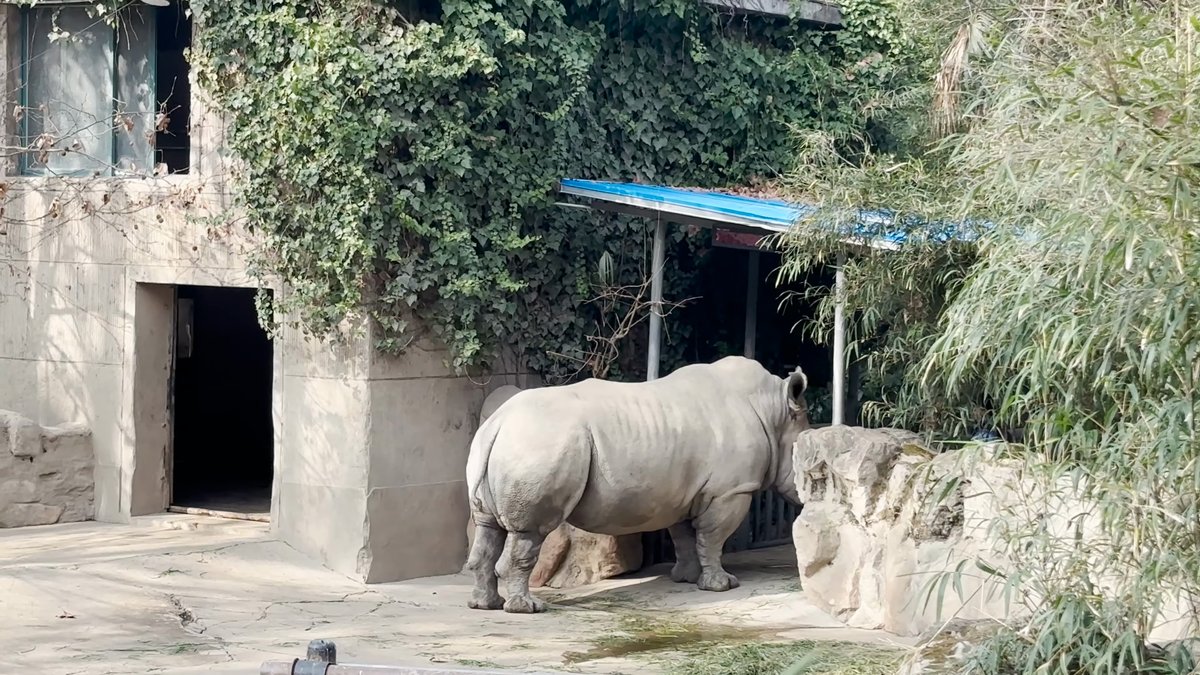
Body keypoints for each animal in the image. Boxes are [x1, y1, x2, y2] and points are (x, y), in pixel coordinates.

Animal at [465, 356, 810, 613]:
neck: (774, 411)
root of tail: (498, 422)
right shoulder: (731, 490)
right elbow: (713, 537)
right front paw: (722, 585)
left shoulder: (686, 490)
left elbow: (684, 536)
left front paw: (685, 578)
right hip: (540, 442)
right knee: (530, 531)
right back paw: (527, 608)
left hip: (499, 445)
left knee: (487, 528)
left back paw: (485, 604)